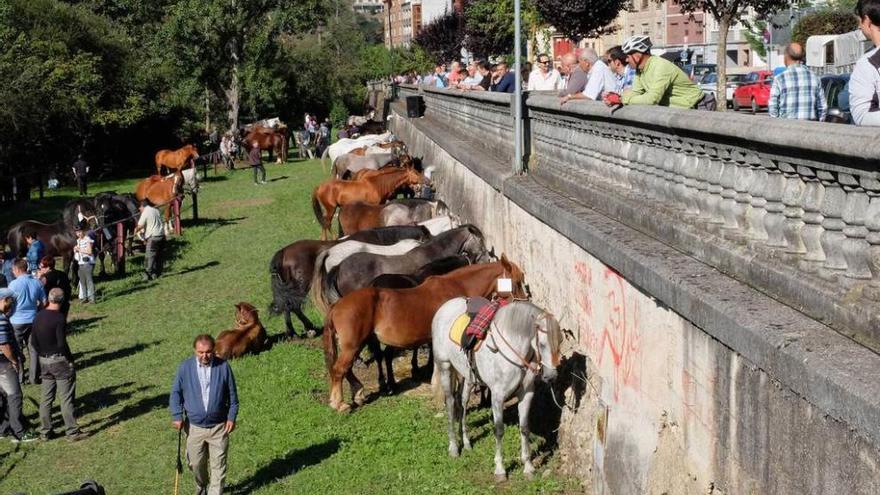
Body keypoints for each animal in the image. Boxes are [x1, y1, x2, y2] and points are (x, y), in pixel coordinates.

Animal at [268, 227, 434, 340]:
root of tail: (283, 252)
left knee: (288, 305)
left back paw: (294, 333)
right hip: (300, 287)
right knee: (293, 305)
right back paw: (306, 330)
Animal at [324, 256, 528, 410]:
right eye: (517, 282)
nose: (523, 303)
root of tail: (336, 306)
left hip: (357, 344)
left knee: (347, 368)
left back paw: (359, 393)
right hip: (353, 345)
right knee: (339, 369)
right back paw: (339, 403)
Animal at [434, 298, 564, 480]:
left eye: (561, 341)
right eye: (542, 344)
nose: (551, 376)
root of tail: (445, 306)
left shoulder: (526, 394)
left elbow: (524, 427)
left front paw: (528, 466)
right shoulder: (497, 397)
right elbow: (499, 430)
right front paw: (500, 469)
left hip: (467, 377)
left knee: (462, 403)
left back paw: (466, 442)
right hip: (445, 367)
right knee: (451, 404)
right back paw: (453, 448)